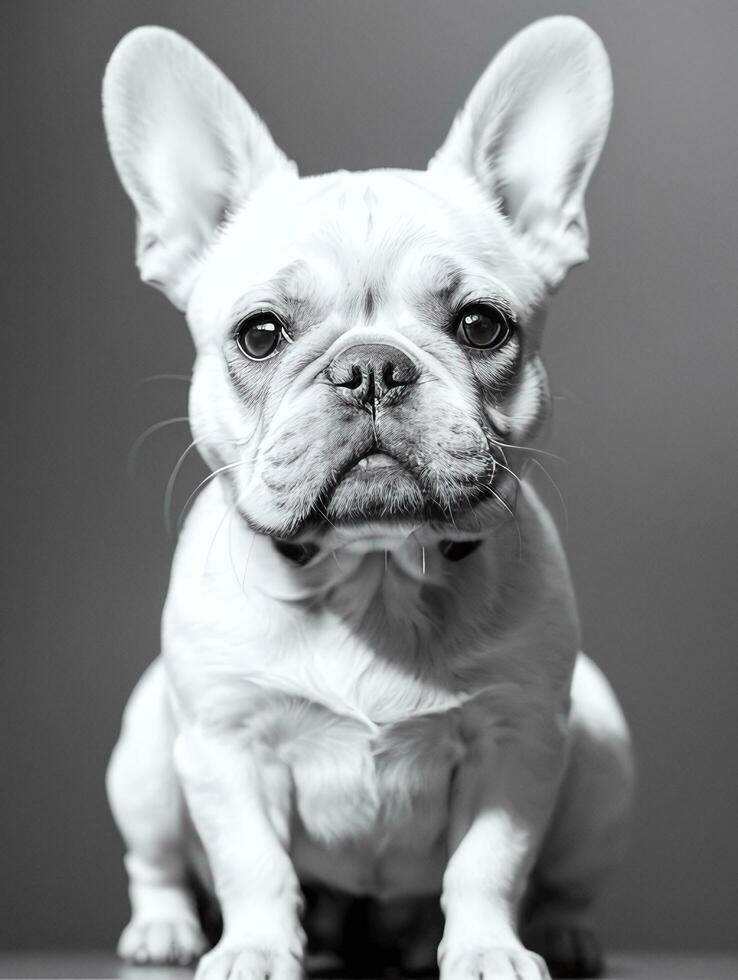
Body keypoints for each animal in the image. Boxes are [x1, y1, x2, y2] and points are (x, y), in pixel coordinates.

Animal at [102, 17, 632, 980]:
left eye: (481, 325)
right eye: (261, 333)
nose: (373, 367)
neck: (373, 574)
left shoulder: (518, 745)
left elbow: (490, 862)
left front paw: (489, 948)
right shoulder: (226, 745)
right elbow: (252, 864)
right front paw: (254, 949)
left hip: (604, 759)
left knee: (566, 880)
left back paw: (563, 935)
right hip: (147, 764)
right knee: (155, 859)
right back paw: (165, 932)